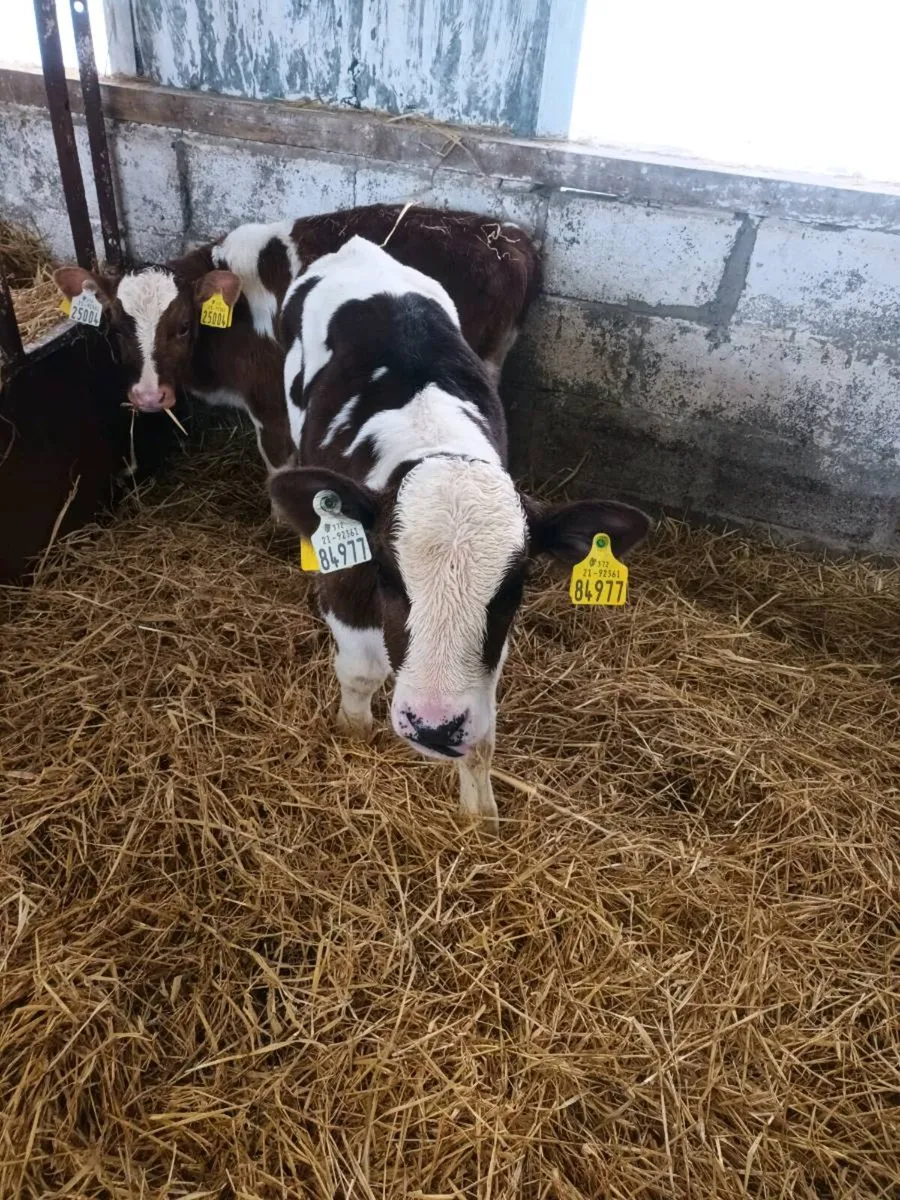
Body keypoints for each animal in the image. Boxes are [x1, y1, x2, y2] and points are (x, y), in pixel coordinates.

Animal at [53, 204, 541, 474]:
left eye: (184, 325)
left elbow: (277, 464)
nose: (150, 396)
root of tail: (511, 238)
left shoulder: (269, 398)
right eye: (116, 327)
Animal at [268, 236, 650, 834]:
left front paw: (480, 816)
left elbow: (483, 731)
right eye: (385, 572)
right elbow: (360, 672)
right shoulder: (346, 582)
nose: (432, 724)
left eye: (515, 587)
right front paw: (353, 735)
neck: (432, 432)